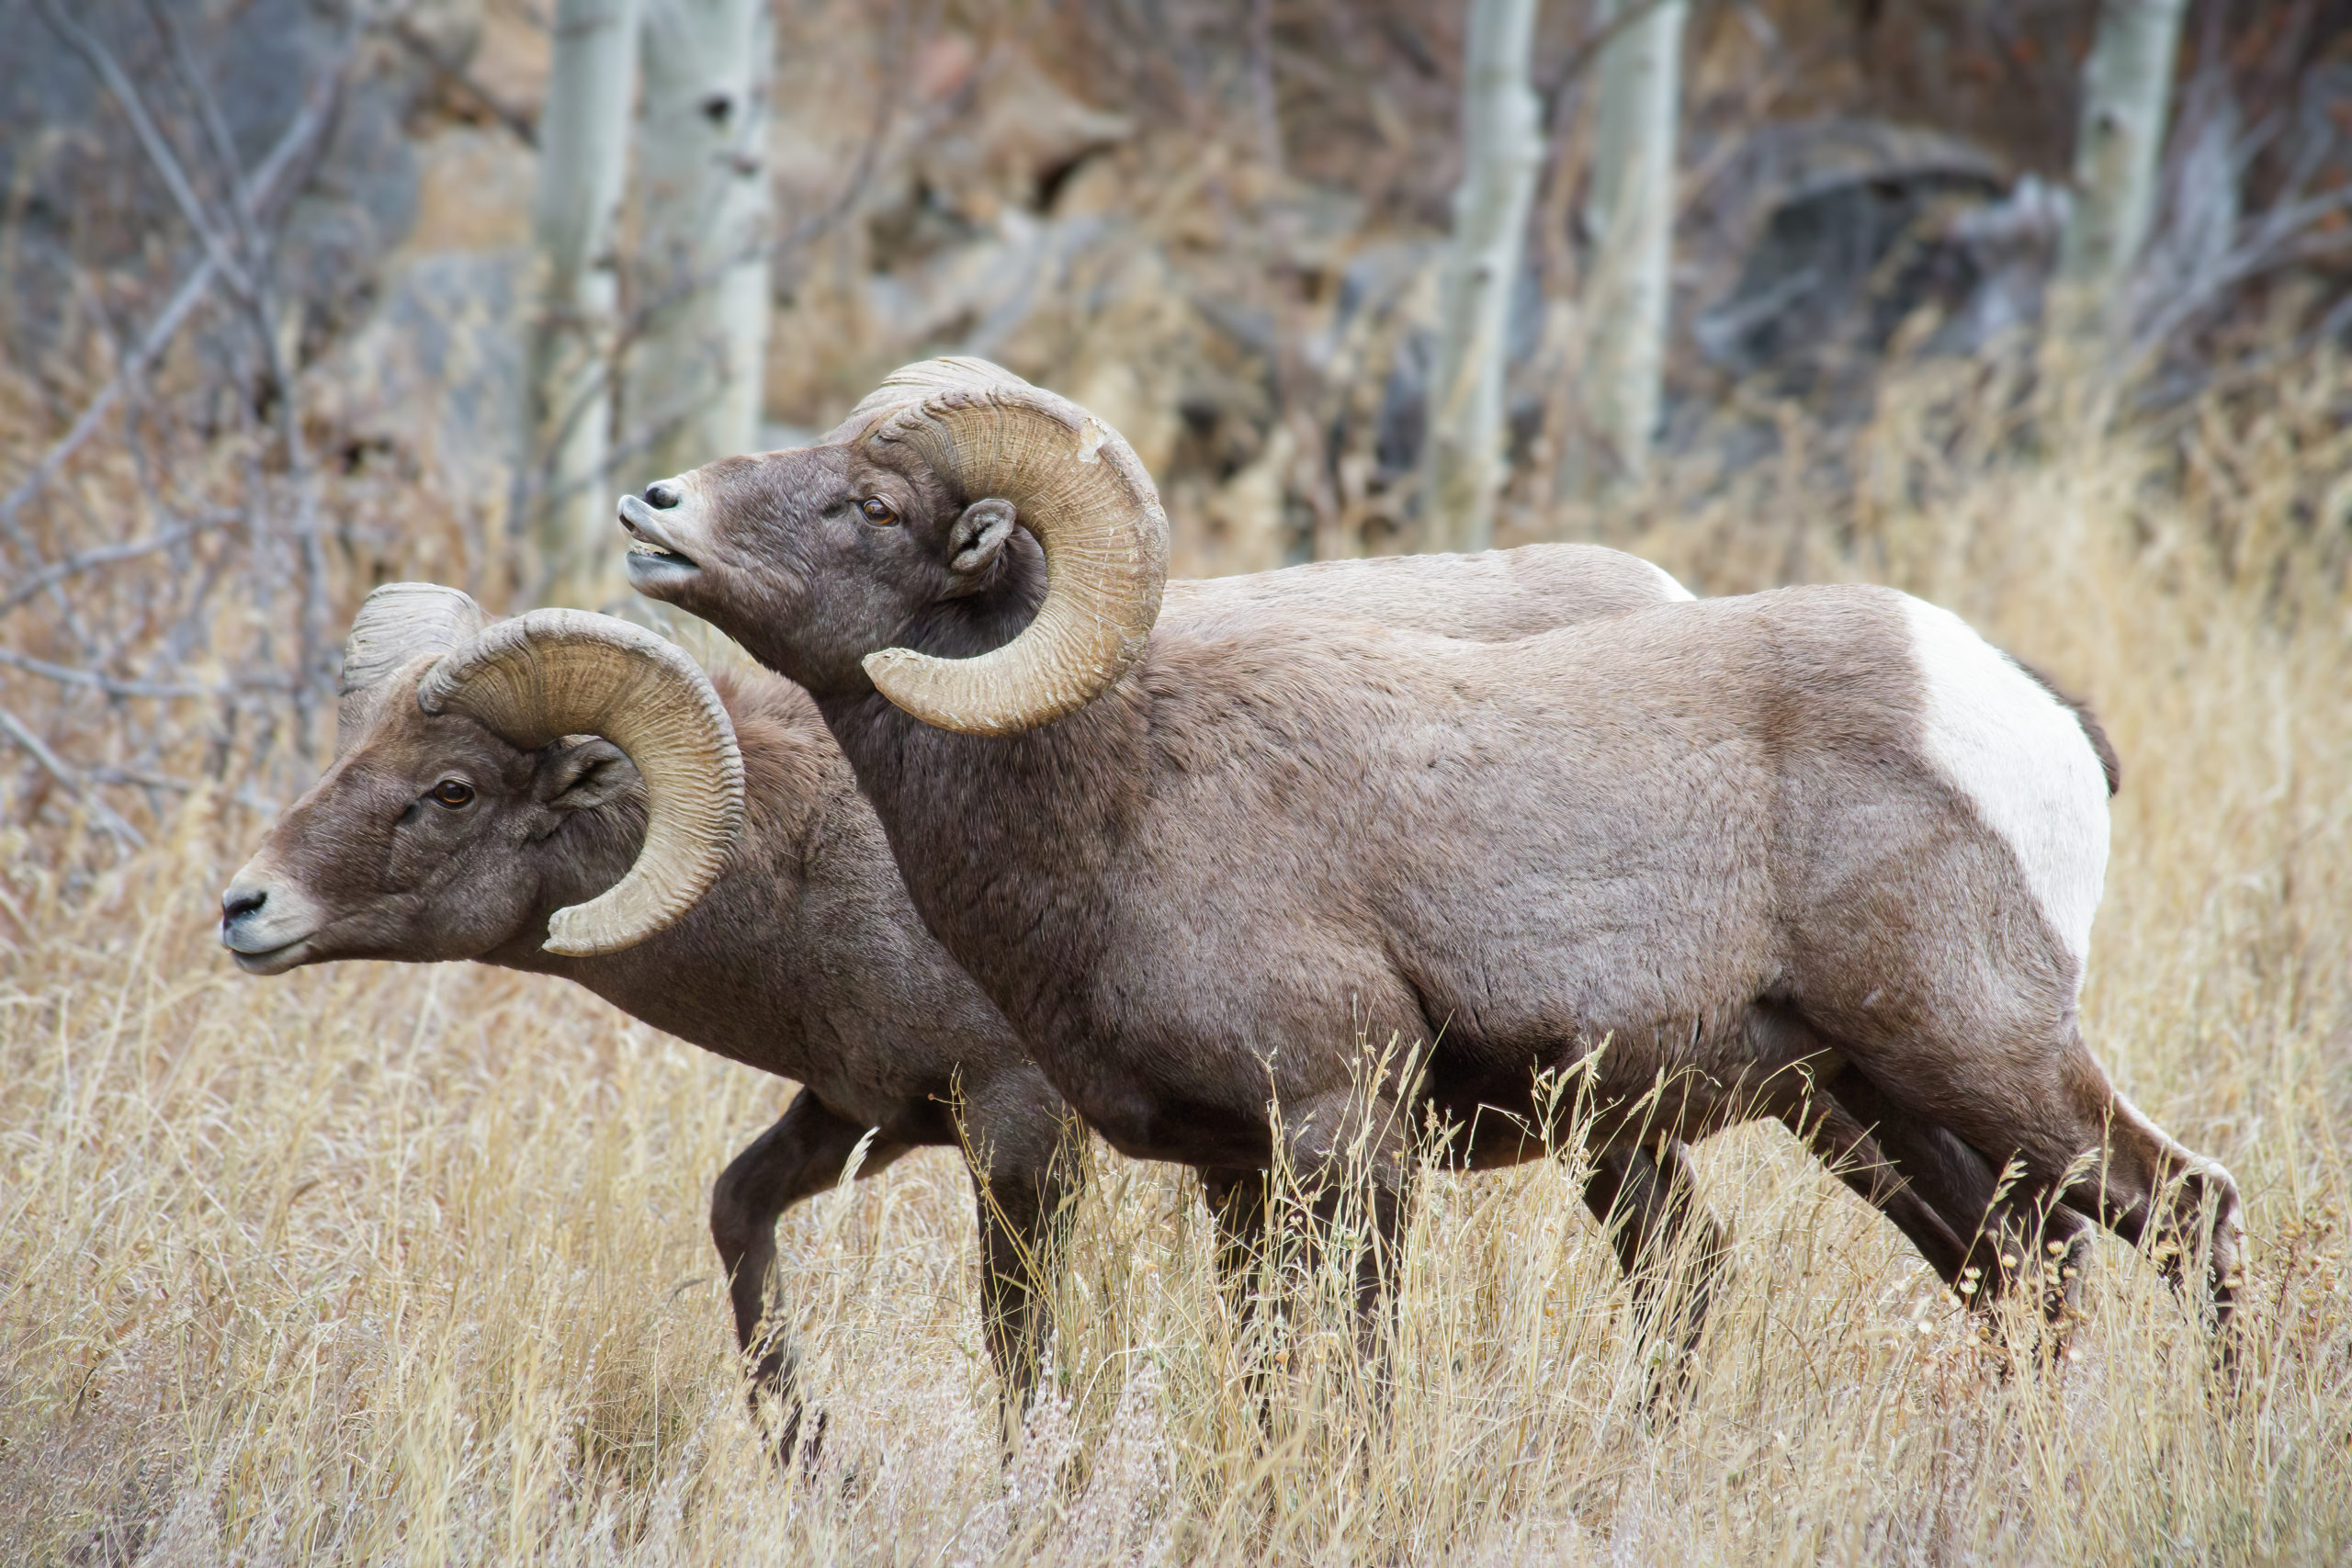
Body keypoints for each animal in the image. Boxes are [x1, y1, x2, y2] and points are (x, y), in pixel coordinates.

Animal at [620, 352, 2239, 1363]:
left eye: (875, 505)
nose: (655, 509)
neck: (1117, 796)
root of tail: (2021, 706)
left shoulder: (1348, 1138)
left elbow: (1353, 1377)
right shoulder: (1237, 1174)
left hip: (1984, 1051)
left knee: (2187, 1209)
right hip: (1878, 1100)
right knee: (2019, 1270)